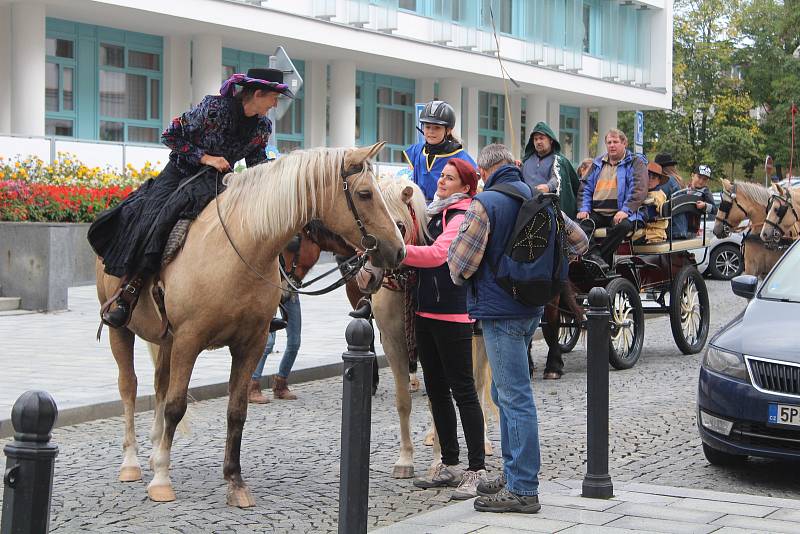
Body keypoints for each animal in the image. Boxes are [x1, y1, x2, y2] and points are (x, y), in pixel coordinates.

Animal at [96, 144, 404, 508]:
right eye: (365, 193)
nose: (398, 250)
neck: (239, 250)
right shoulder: (189, 339)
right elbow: (176, 406)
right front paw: (161, 479)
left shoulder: (249, 344)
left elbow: (236, 411)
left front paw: (234, 481)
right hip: (121, 330)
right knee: (129, 388)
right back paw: (131, 462)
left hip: (166, 340)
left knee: (159, 386)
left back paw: (156, 447)